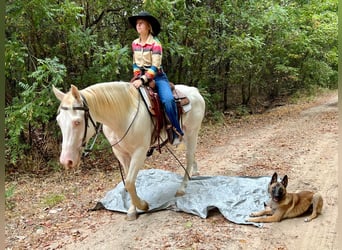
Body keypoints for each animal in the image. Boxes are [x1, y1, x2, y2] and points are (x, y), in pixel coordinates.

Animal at [52, 81, 204, 220]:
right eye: (58, 121)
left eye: (77, 122)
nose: (66, 161)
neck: (123, 116)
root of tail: (195, 91)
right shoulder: (121, 154)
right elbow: (128, 181)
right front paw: (132, 210)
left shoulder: (139, 152)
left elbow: (130, 182)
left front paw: (143, 205)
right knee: (192, 155)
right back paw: (195, 172)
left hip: (192, 133)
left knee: (189, 157)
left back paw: (182, 188)